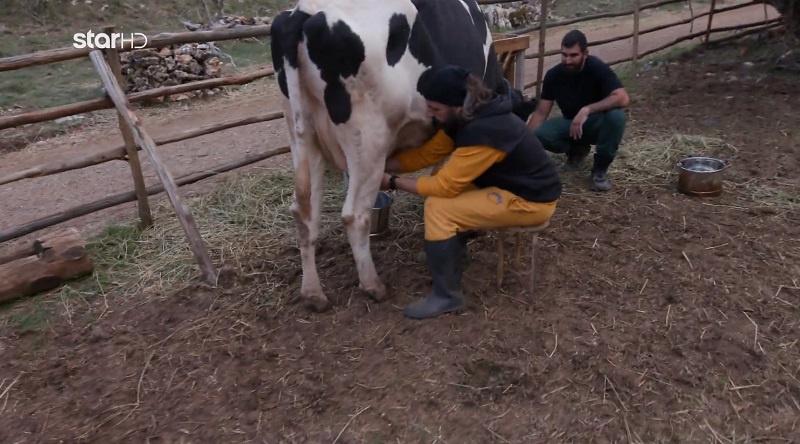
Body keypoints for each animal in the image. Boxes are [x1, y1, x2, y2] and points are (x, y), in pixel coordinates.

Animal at [268, 0, 536, 312]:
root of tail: (303, 11)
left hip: (303, 137)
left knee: (305, 214)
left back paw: (314, 294)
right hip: (367, 139)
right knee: (354, 216)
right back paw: (374, 286)